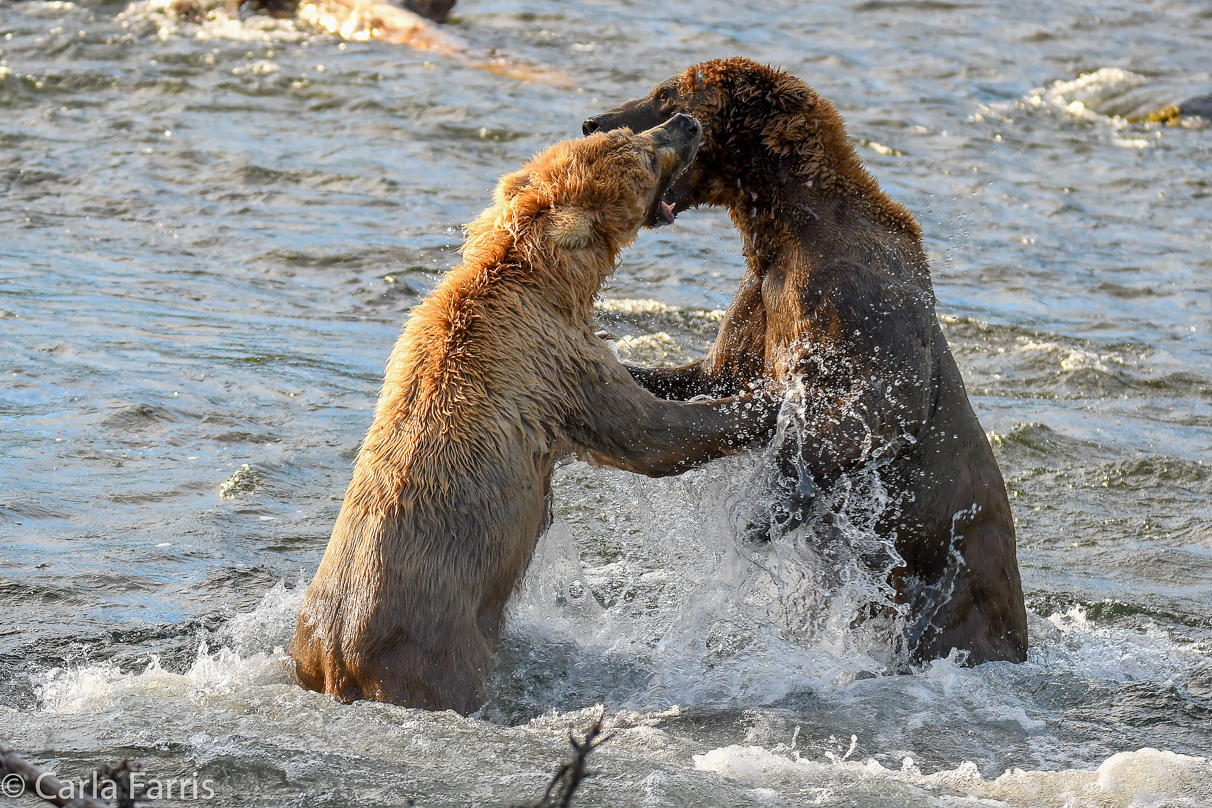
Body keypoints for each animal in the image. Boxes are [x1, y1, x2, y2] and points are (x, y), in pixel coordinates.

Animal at [287, 113, 775, 712]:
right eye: (641, 156)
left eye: (627, 136)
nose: (684, 123)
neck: (549, 279)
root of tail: (339, 659)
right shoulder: (554, 362)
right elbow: (646, 433)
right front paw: (775, 400)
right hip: (437, 648)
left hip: (311, 641)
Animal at [581, 55, 1027, 663]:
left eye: (664, 92)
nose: (592, 121)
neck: (784, 223)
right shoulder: (760, 302)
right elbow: (710, 373)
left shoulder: (851, 300)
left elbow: (873, 407)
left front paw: (763, 512)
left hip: (956, 598)